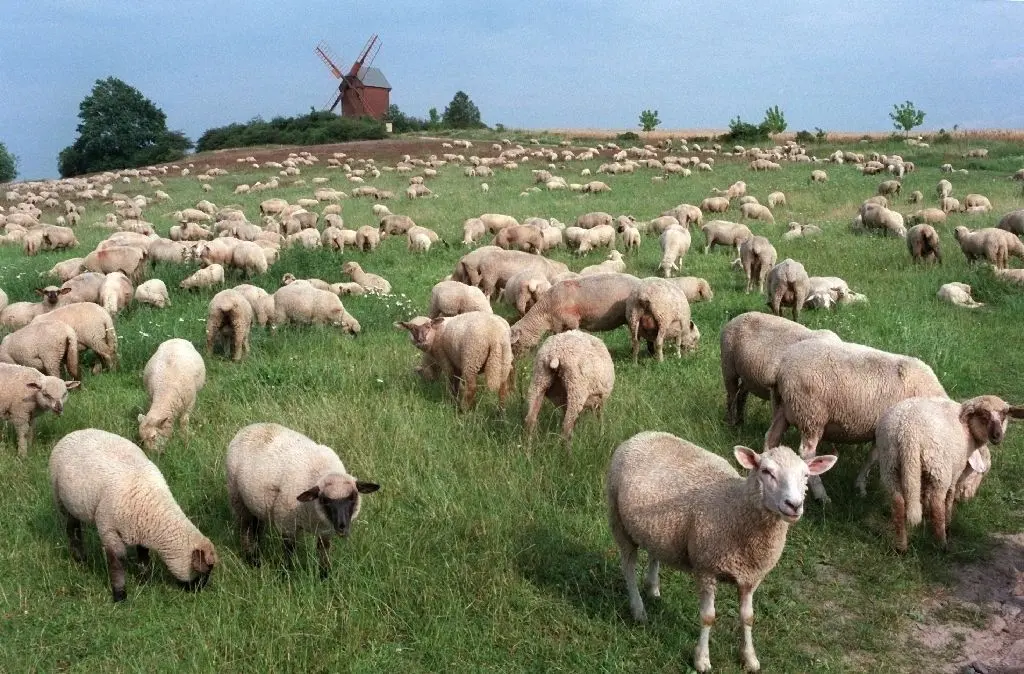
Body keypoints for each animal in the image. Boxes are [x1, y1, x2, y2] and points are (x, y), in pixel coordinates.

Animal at [49, 429, 218, 601]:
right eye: (205, 570)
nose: (199, 590)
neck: (153, 505)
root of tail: (75, 432)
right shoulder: (108, 528)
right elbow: (117, 560)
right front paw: (120, 595)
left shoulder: (141, 527)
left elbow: (143, 555)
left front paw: (144, 580)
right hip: (63, 501)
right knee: (73, 530)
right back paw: (80, 559)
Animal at [225, 423, 379, 576]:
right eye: (325, 500)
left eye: (353, 497)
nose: (343, 527)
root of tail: (252, 426)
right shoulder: (287, 524)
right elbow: (289, 550)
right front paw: (286, 574)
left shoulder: (326, 530)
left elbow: (324, 551)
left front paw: (325, 575)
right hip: (237, 498)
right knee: (245, 530)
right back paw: (252, 559)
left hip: (256, 504)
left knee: (257, 529)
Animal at [607, 432, 836, 674]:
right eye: (766, 471)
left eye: (806, 475)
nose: (794, 505)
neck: (735, 509)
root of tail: (643, 434)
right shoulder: (706, 569)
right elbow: (708, 617)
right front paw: (702, 660)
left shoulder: (750, 577)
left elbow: (748, 617)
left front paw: (750, 658)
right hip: (617, 518)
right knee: (628, 566)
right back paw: (638, 609)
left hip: (658, 530)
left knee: (654, 554)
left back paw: (653, 589)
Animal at [765, 339, 946, 502]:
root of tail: (782, 366)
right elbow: (874, 459)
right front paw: (861, 486)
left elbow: (871, 458)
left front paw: (860, 486)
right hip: (811, 414)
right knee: (807, 453)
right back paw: (821, 494)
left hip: (783, 407)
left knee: (771, 437)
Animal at [875, 396, 1023, 552]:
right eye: (983, 415)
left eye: (1004, 415)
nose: (997, 436)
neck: (968, 429)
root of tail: (908, 432)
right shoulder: (955, 469)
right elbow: (950, 495)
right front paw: (948, 524)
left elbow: (924, 495)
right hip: (939, 468)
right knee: (936, 503)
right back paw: (942, 543)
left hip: (890, 464)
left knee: (898, 502)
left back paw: (901, 547)